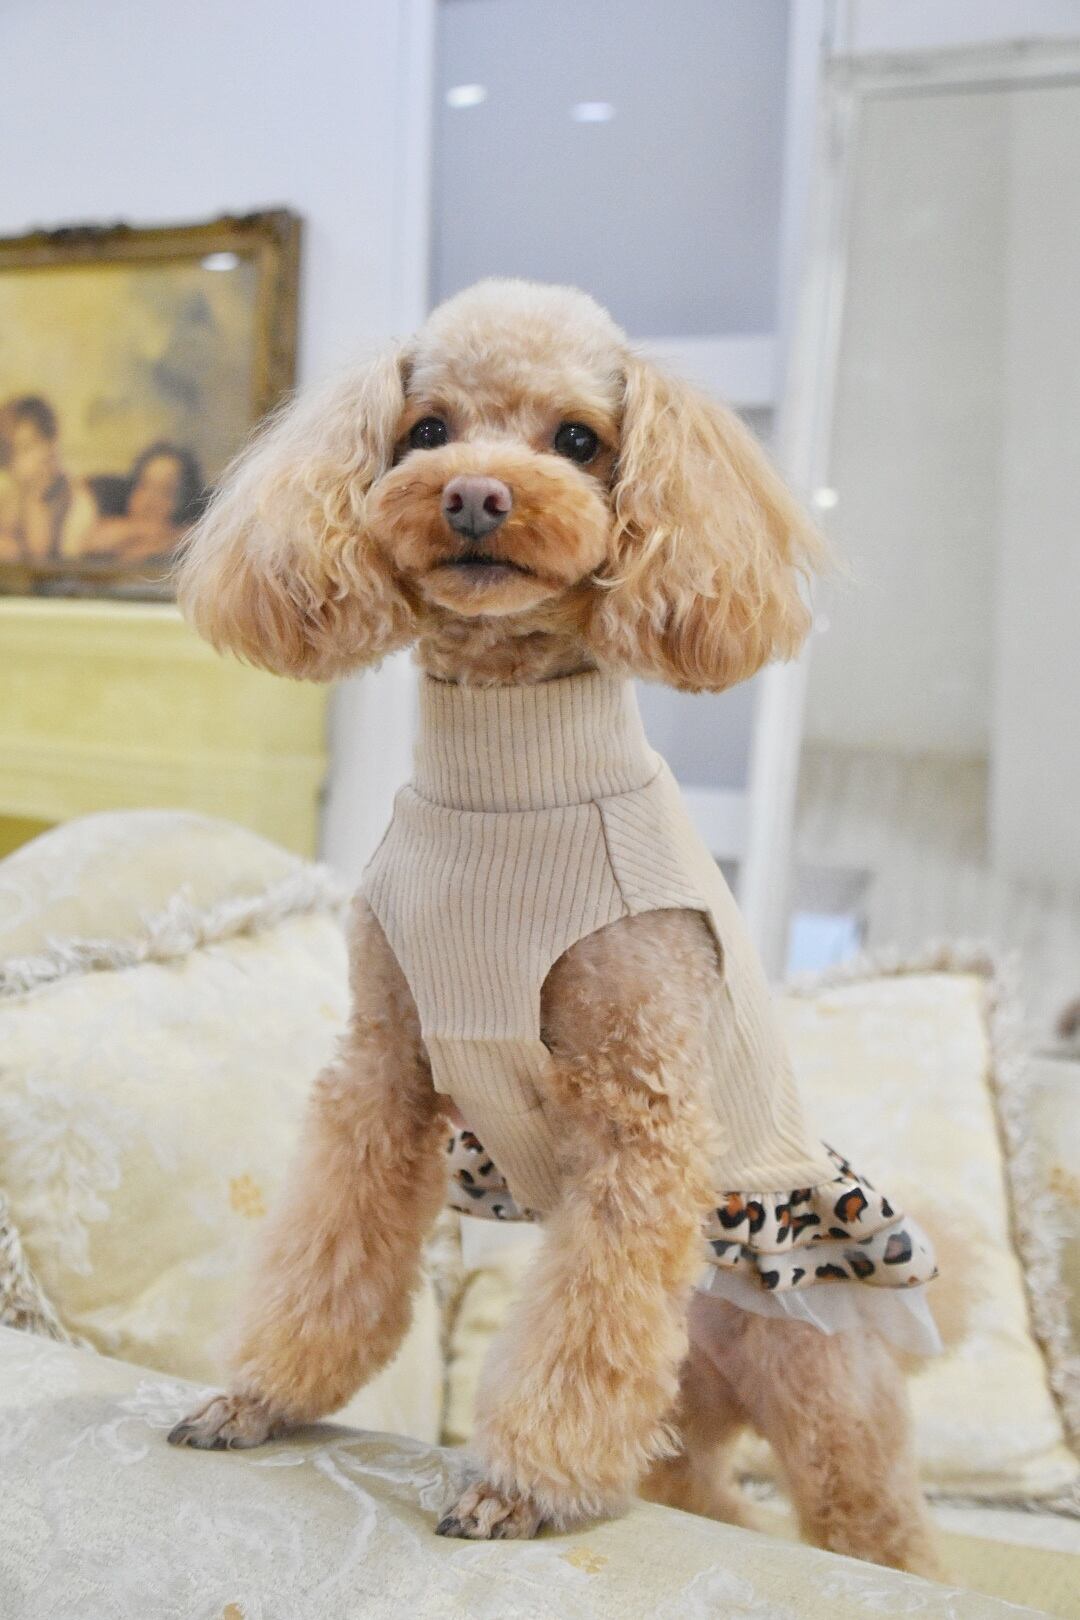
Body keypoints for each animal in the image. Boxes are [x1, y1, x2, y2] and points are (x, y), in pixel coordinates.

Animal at [167, 279, 941, 1576]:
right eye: (426, 430)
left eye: (579, 439)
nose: (477, 494)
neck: (507, 785)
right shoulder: (386, 1070)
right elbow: (329, 1248)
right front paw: (259, 1397)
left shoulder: (639, 1111)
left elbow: (586, 1324)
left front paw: (518, 1489)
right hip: (692, 1414)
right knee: (705, 1492)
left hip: (826, 1400)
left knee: (882, 1532)